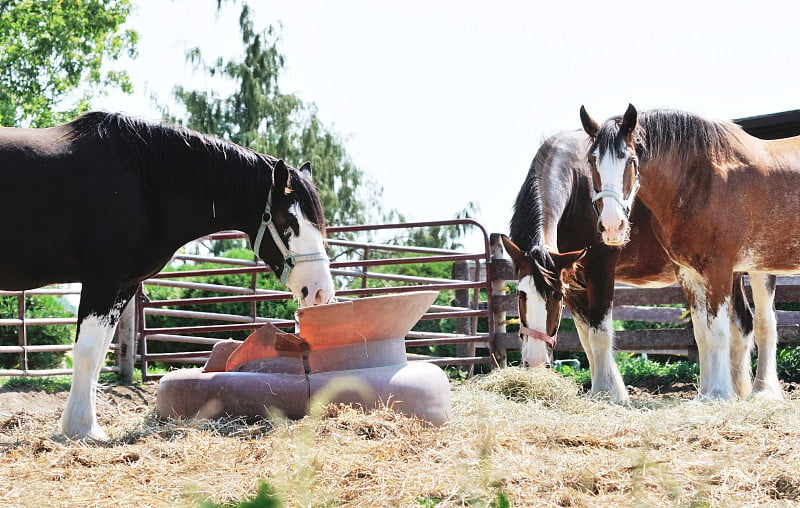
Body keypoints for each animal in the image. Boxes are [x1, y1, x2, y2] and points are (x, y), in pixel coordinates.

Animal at [0, 113, 334, 438]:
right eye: (288, 220)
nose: (321, 291)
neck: (140, 181)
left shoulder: (124, 285)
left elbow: (99, 355)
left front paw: (88, 428)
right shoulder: (101, 278)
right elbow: (87, 351)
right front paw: (79, 428)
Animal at [504, 130, 780, 400]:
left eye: (555, 297)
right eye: (520, 295)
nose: (535, 361)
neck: (577, 193)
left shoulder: (599, 272)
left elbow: (600, 334)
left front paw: (607, 392)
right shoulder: (572, 282)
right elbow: (586, 338)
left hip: (756, 267)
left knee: (763, 322)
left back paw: (762, 390)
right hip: (728, 273)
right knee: (742, 325)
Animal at [580, 105, 788, 398]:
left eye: (630, 159)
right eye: (592, 161)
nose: (611, 226)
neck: (702, 180)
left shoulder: (718, 268)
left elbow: (719, 332)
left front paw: (719, 393)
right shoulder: (690, 273)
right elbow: (702, 334)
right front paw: (707, 393)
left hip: (760, 267)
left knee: (764, 323)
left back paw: (763, 391)